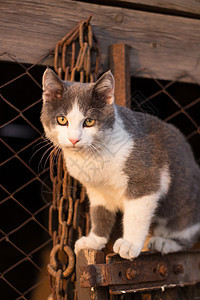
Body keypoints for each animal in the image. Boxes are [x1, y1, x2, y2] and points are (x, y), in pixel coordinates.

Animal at [40, 68, 200, 260]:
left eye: (89, 121)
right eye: (62, 120)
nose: (74, 139)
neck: (92, 156)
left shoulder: (146, 179)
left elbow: (136, 214)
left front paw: (129, 244)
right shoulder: (96, 190)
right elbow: (99, 212)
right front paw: (94, 240)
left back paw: (165, 242)